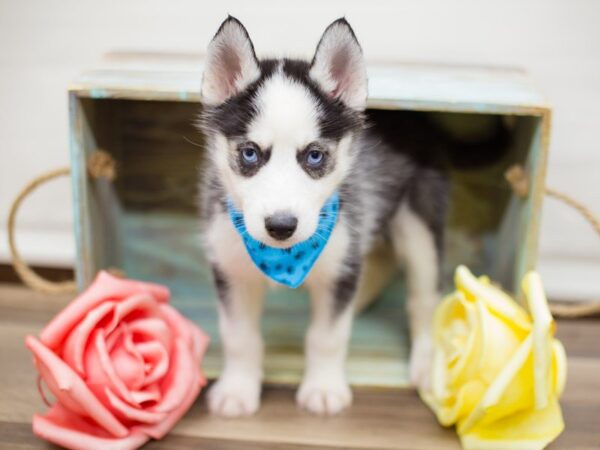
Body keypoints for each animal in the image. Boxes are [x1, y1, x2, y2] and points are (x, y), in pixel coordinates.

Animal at [199, 17, 448, 418]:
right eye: (250, 153)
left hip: (418, 225)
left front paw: (324, 387)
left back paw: (426, 362)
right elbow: (239, 337)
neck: (283, 258)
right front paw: (238, 389)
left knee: (423, 299)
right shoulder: (231, 270)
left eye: (314, 156)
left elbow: (327, 336)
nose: (281, 226)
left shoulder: (339, 267)